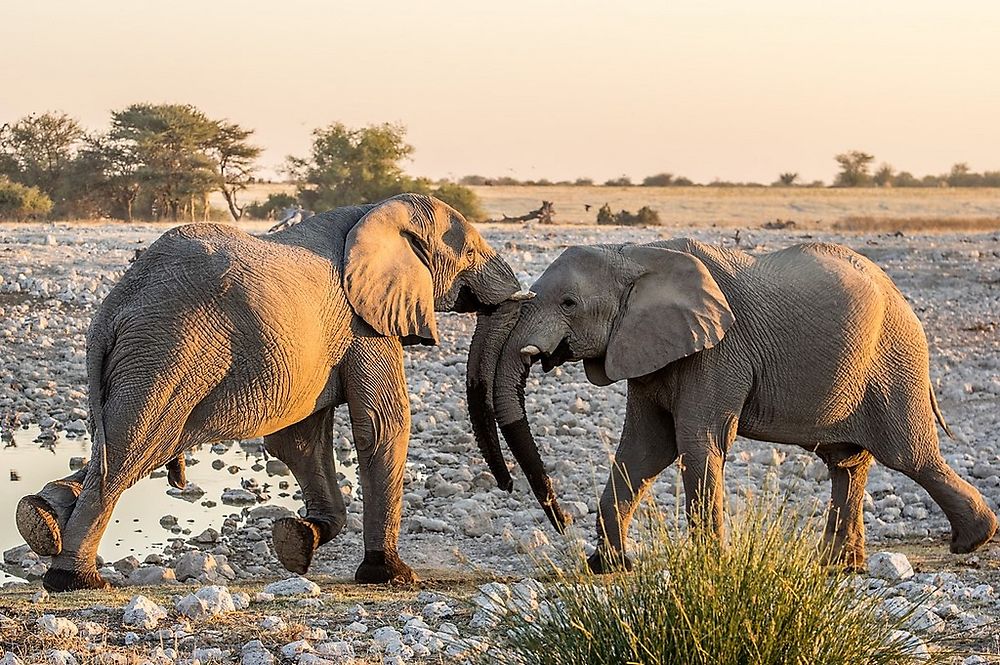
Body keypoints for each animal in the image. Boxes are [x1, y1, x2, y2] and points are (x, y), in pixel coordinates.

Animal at [15, 193, 524, 592]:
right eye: (471, 250)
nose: (509, 485)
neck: (375, 212)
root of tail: (115, 306)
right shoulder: (363, 325)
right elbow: (382, 426)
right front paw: (392, 576)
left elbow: (299, 441)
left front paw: (296, 541)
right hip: (169, 352)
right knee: (135, 450)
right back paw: (74, 579)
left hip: (145, 359)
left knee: (125, 446)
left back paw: (39, 518)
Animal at [464, 237, 996, 572]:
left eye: (569, 304)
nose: (561, 521)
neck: (634, 255)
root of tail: (903, 298)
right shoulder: (649, 349)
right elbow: (644, 449)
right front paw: (610, 566)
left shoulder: (719, 352)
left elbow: (697, 443)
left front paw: (705, 566)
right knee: (847, 462)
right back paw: (838, 567)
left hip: (895, 360)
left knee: (910, 456)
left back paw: (972, 540)